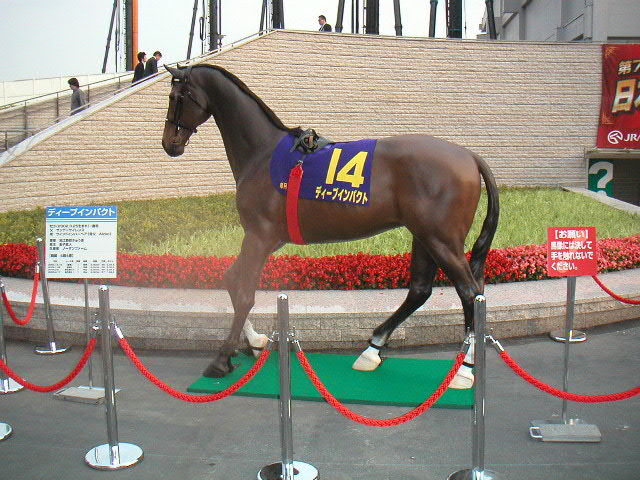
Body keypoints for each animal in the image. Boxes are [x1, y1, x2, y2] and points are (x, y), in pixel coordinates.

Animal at [162, 64, 499, 389]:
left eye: (176, 97)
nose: (169, 143)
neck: (263, 153)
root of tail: (469, 156)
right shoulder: (267, 239)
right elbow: (232, 280)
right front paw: (254, 342)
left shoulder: (258, 235)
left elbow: (244, 291)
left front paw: (222, 358)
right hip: (423, 235)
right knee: (421, 290)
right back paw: (373, 349)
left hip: (441, 239)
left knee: (470, 293)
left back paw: (465, 368)